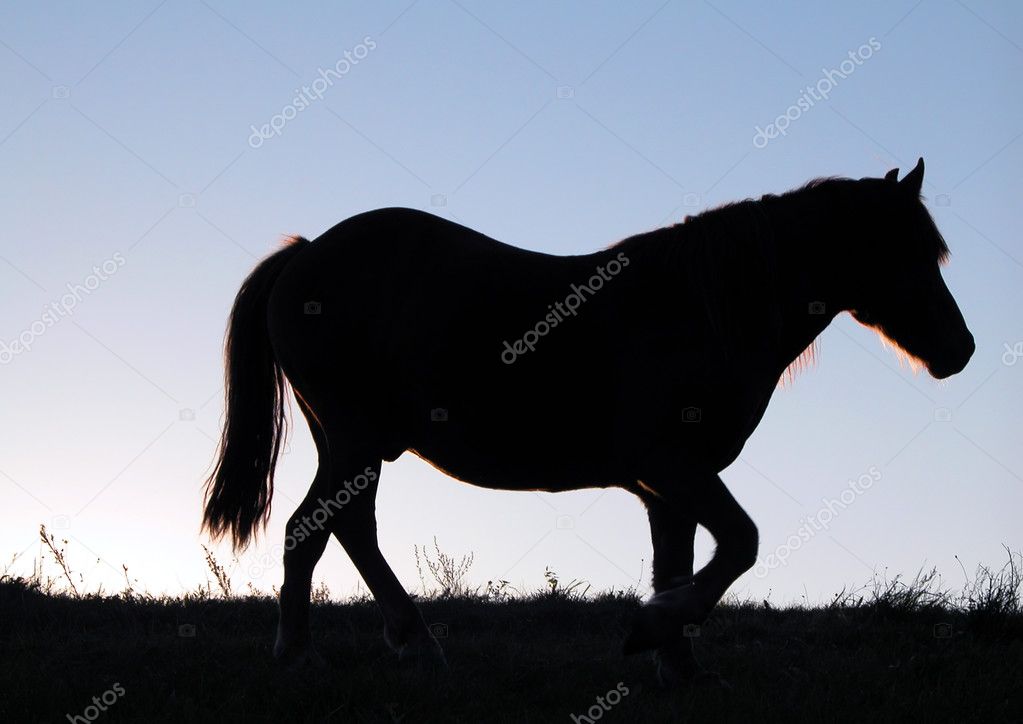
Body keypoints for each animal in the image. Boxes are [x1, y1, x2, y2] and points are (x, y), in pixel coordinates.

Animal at [199, 158, 973, 683]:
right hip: (355, 437)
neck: (696, 311)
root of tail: (306, 254)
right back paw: (350, 648)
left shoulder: (670, 488)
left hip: (350, 441)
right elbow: (740, 545)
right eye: (904, 251)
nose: (958, 349)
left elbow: (679, 565)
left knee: (330, 528)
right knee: (328, 527)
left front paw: (678, 668)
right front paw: (650, 633)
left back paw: (358, 645)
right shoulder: (670, 467)